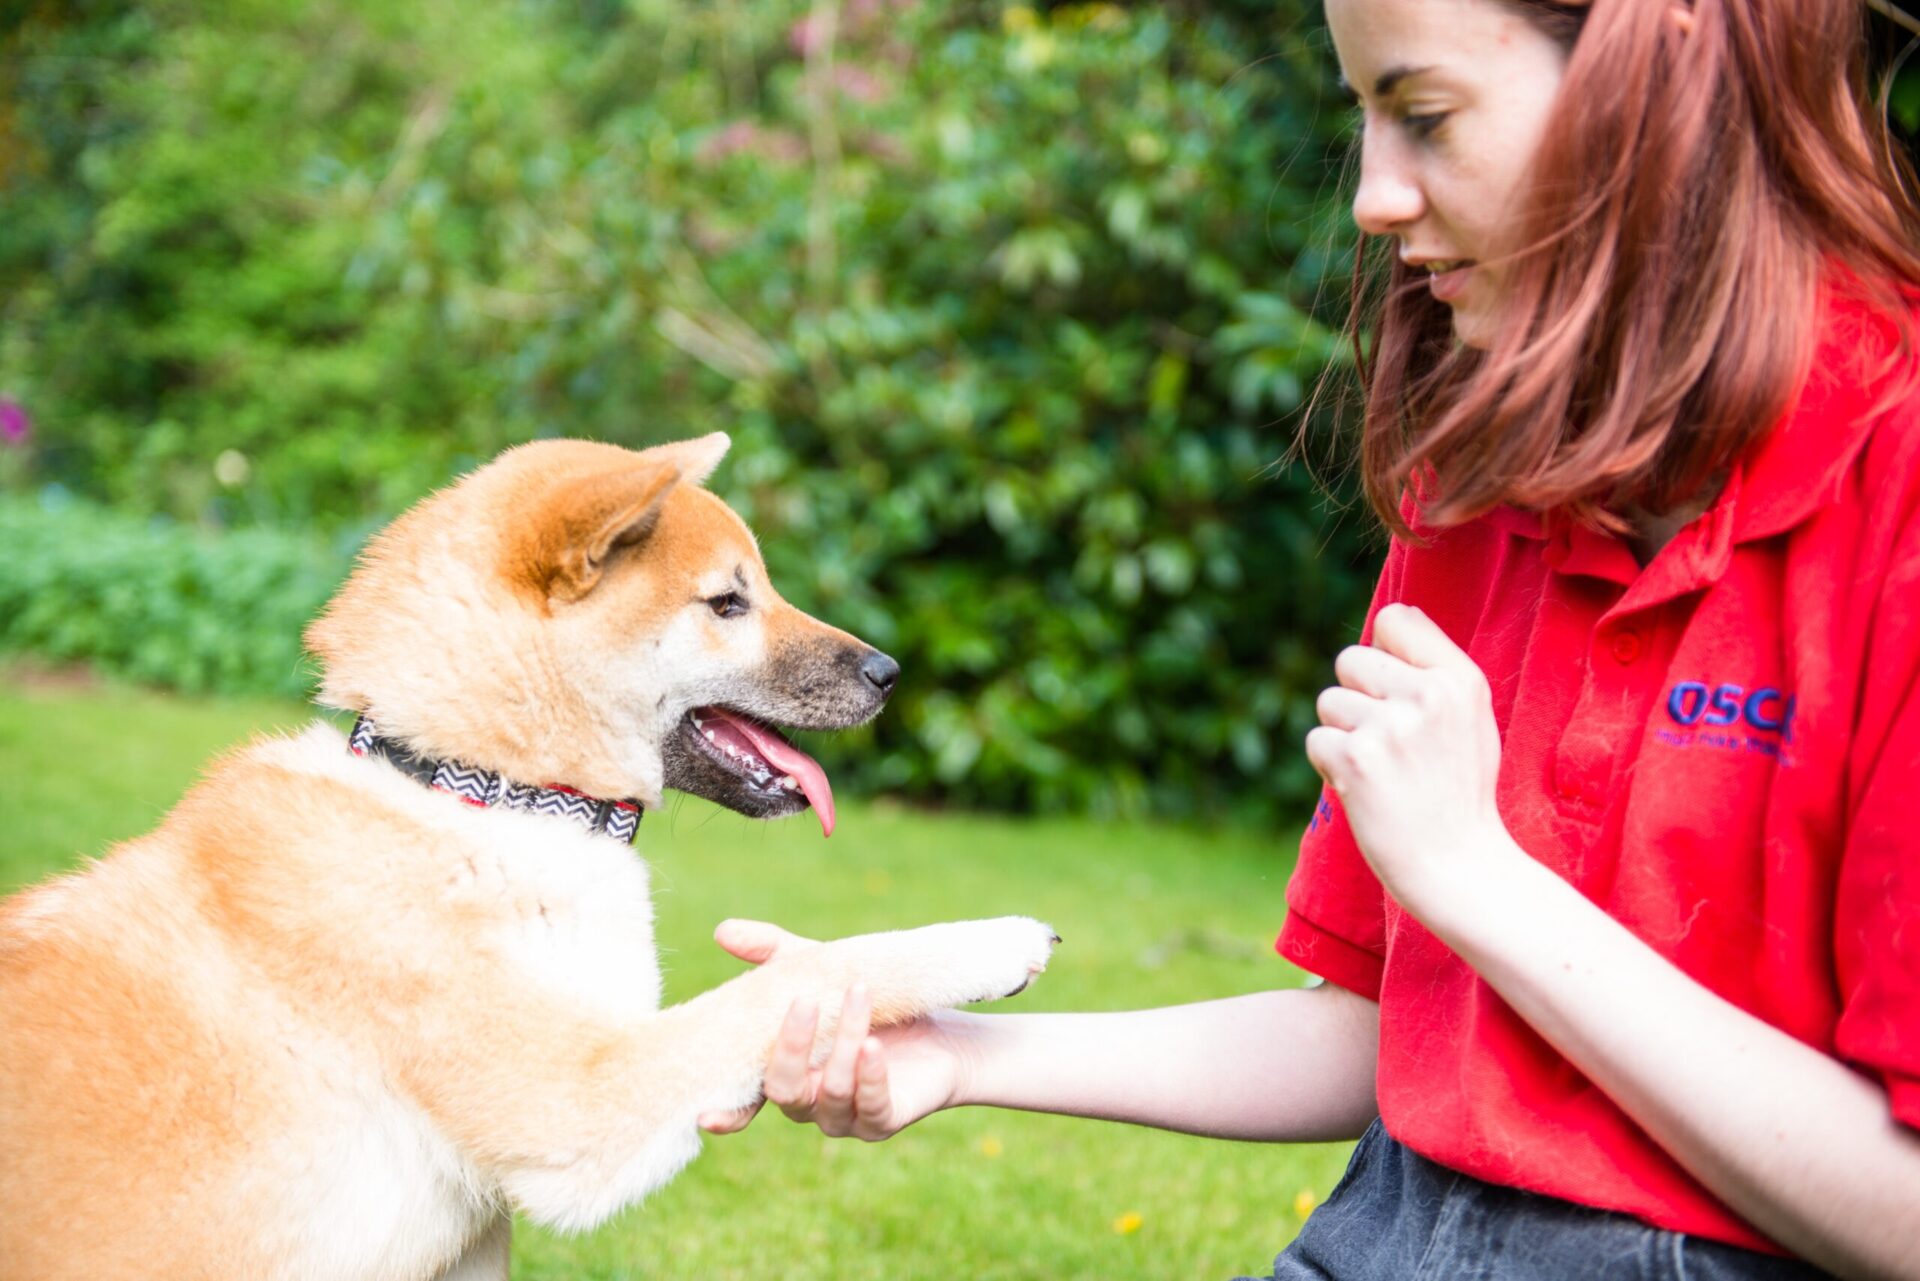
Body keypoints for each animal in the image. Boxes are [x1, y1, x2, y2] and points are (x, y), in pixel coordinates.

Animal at [0, 434, 1059, 1281]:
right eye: (728, 601)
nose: (889, 672)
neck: (480, 795)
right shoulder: (582, 1099)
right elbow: (816, 968)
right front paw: (990, 939)